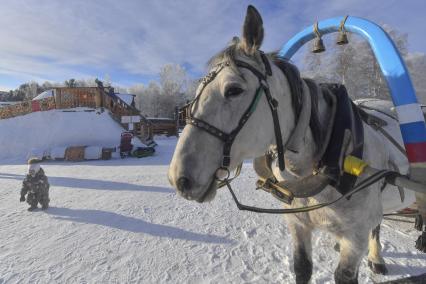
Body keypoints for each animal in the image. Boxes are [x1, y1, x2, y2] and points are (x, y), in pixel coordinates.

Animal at [168, 5, 414, 284]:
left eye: (233, 90)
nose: (178, 178)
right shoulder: (298, 223)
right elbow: (302, 267)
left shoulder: (356, 236)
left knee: (377, 225)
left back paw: (376, 257)